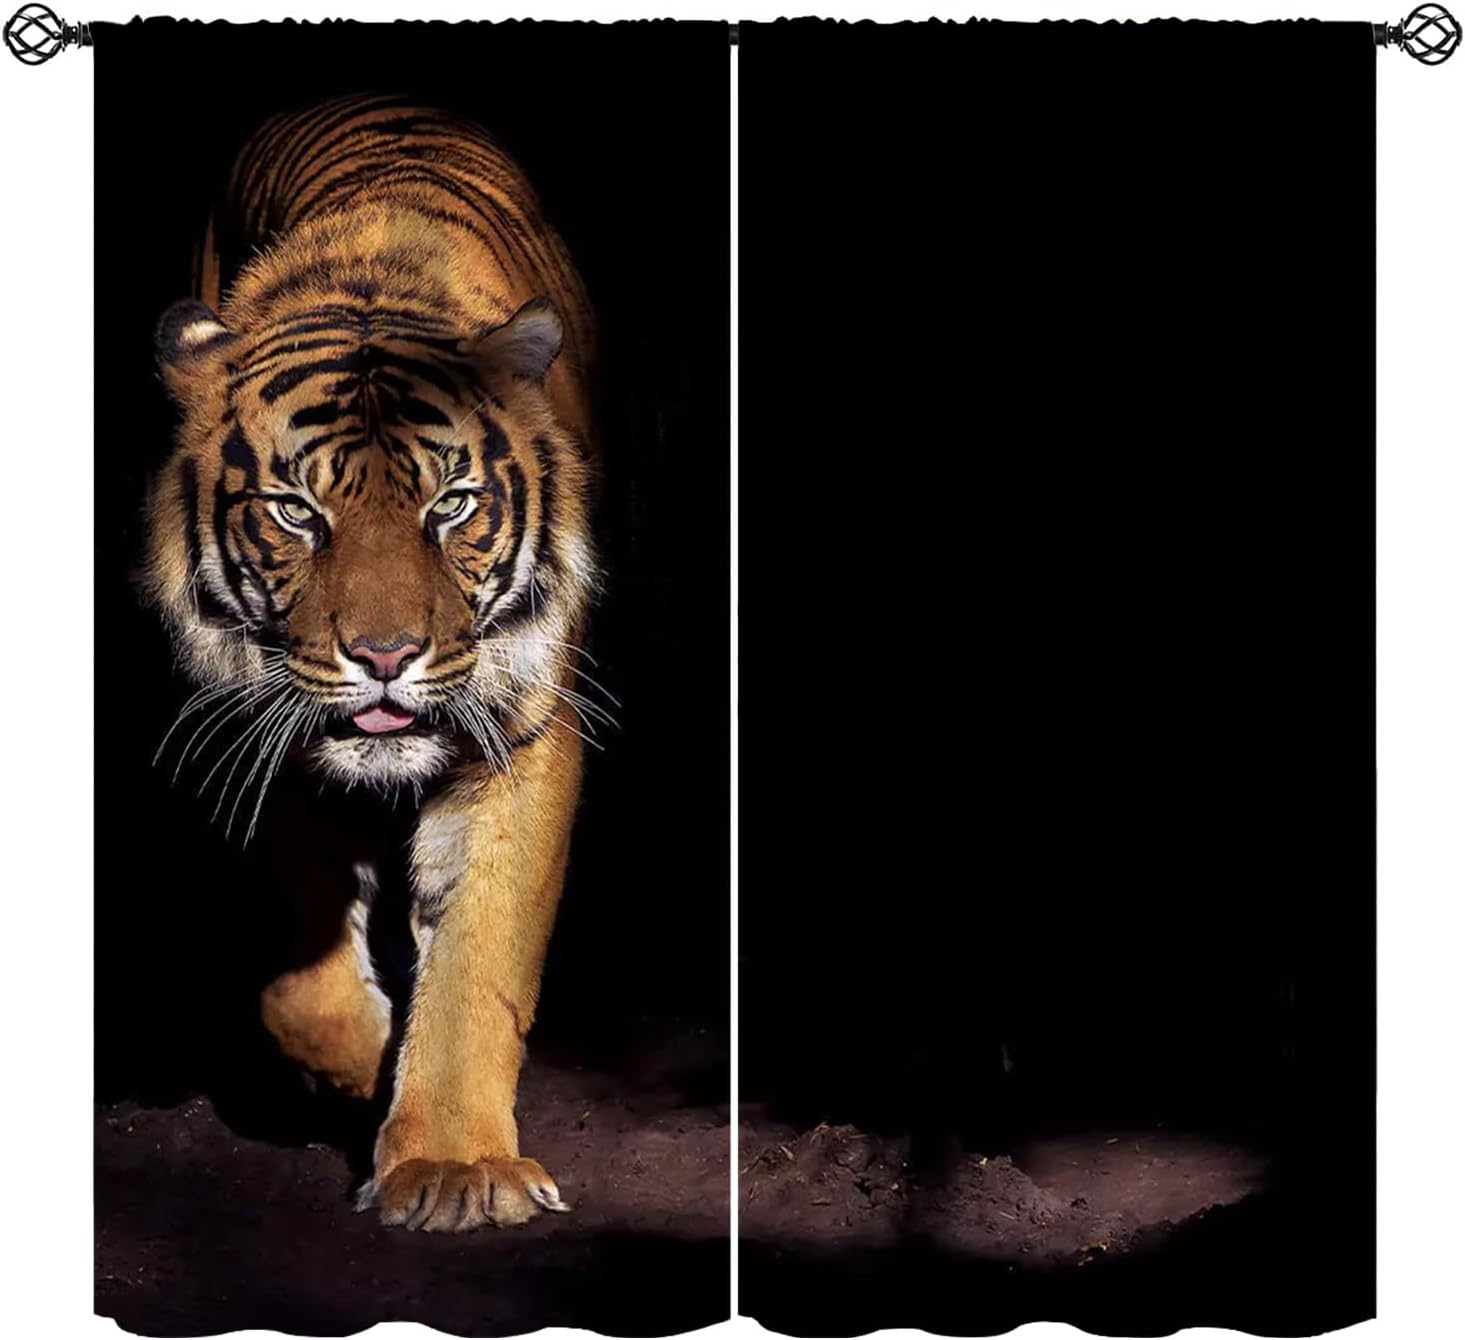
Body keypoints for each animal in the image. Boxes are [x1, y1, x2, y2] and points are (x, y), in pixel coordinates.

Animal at [144, 95, 603, 1232]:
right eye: (296, 512)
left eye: (452, 503)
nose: (386, 655)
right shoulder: (270, 730)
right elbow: (300, 976)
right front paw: (361, 1069)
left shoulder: (523, 731)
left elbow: (480, 957)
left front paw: (453, 1166)